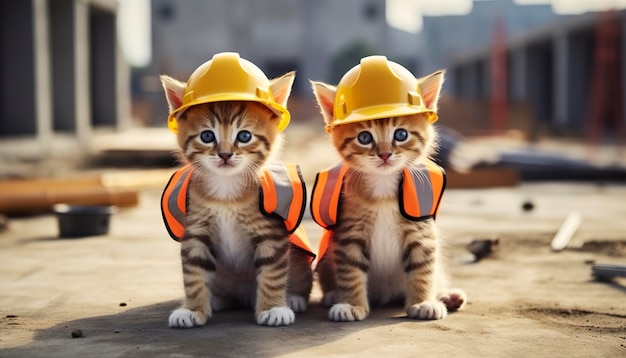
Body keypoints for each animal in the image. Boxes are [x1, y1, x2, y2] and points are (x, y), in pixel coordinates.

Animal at [161, 68, 312, 328]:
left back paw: (293, 298)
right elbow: (193, 274)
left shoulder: (271, 233)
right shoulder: (196, 231)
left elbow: (272, 272)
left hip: (301, 262)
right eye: (207, 136)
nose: (224, 154)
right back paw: (217, 299)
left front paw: (273, 308)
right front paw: (192, 309)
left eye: (244, 136)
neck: (226, 192)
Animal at [310, 66, 464, 322]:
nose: (384, 154)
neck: (383, 189)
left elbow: (423, 269)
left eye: (400, 135)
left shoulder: (421, 231)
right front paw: (351, 304)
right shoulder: (348, 233)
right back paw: (333, 294)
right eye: (364, 138)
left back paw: (446, 295)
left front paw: (423, 302)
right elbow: (350, 271)